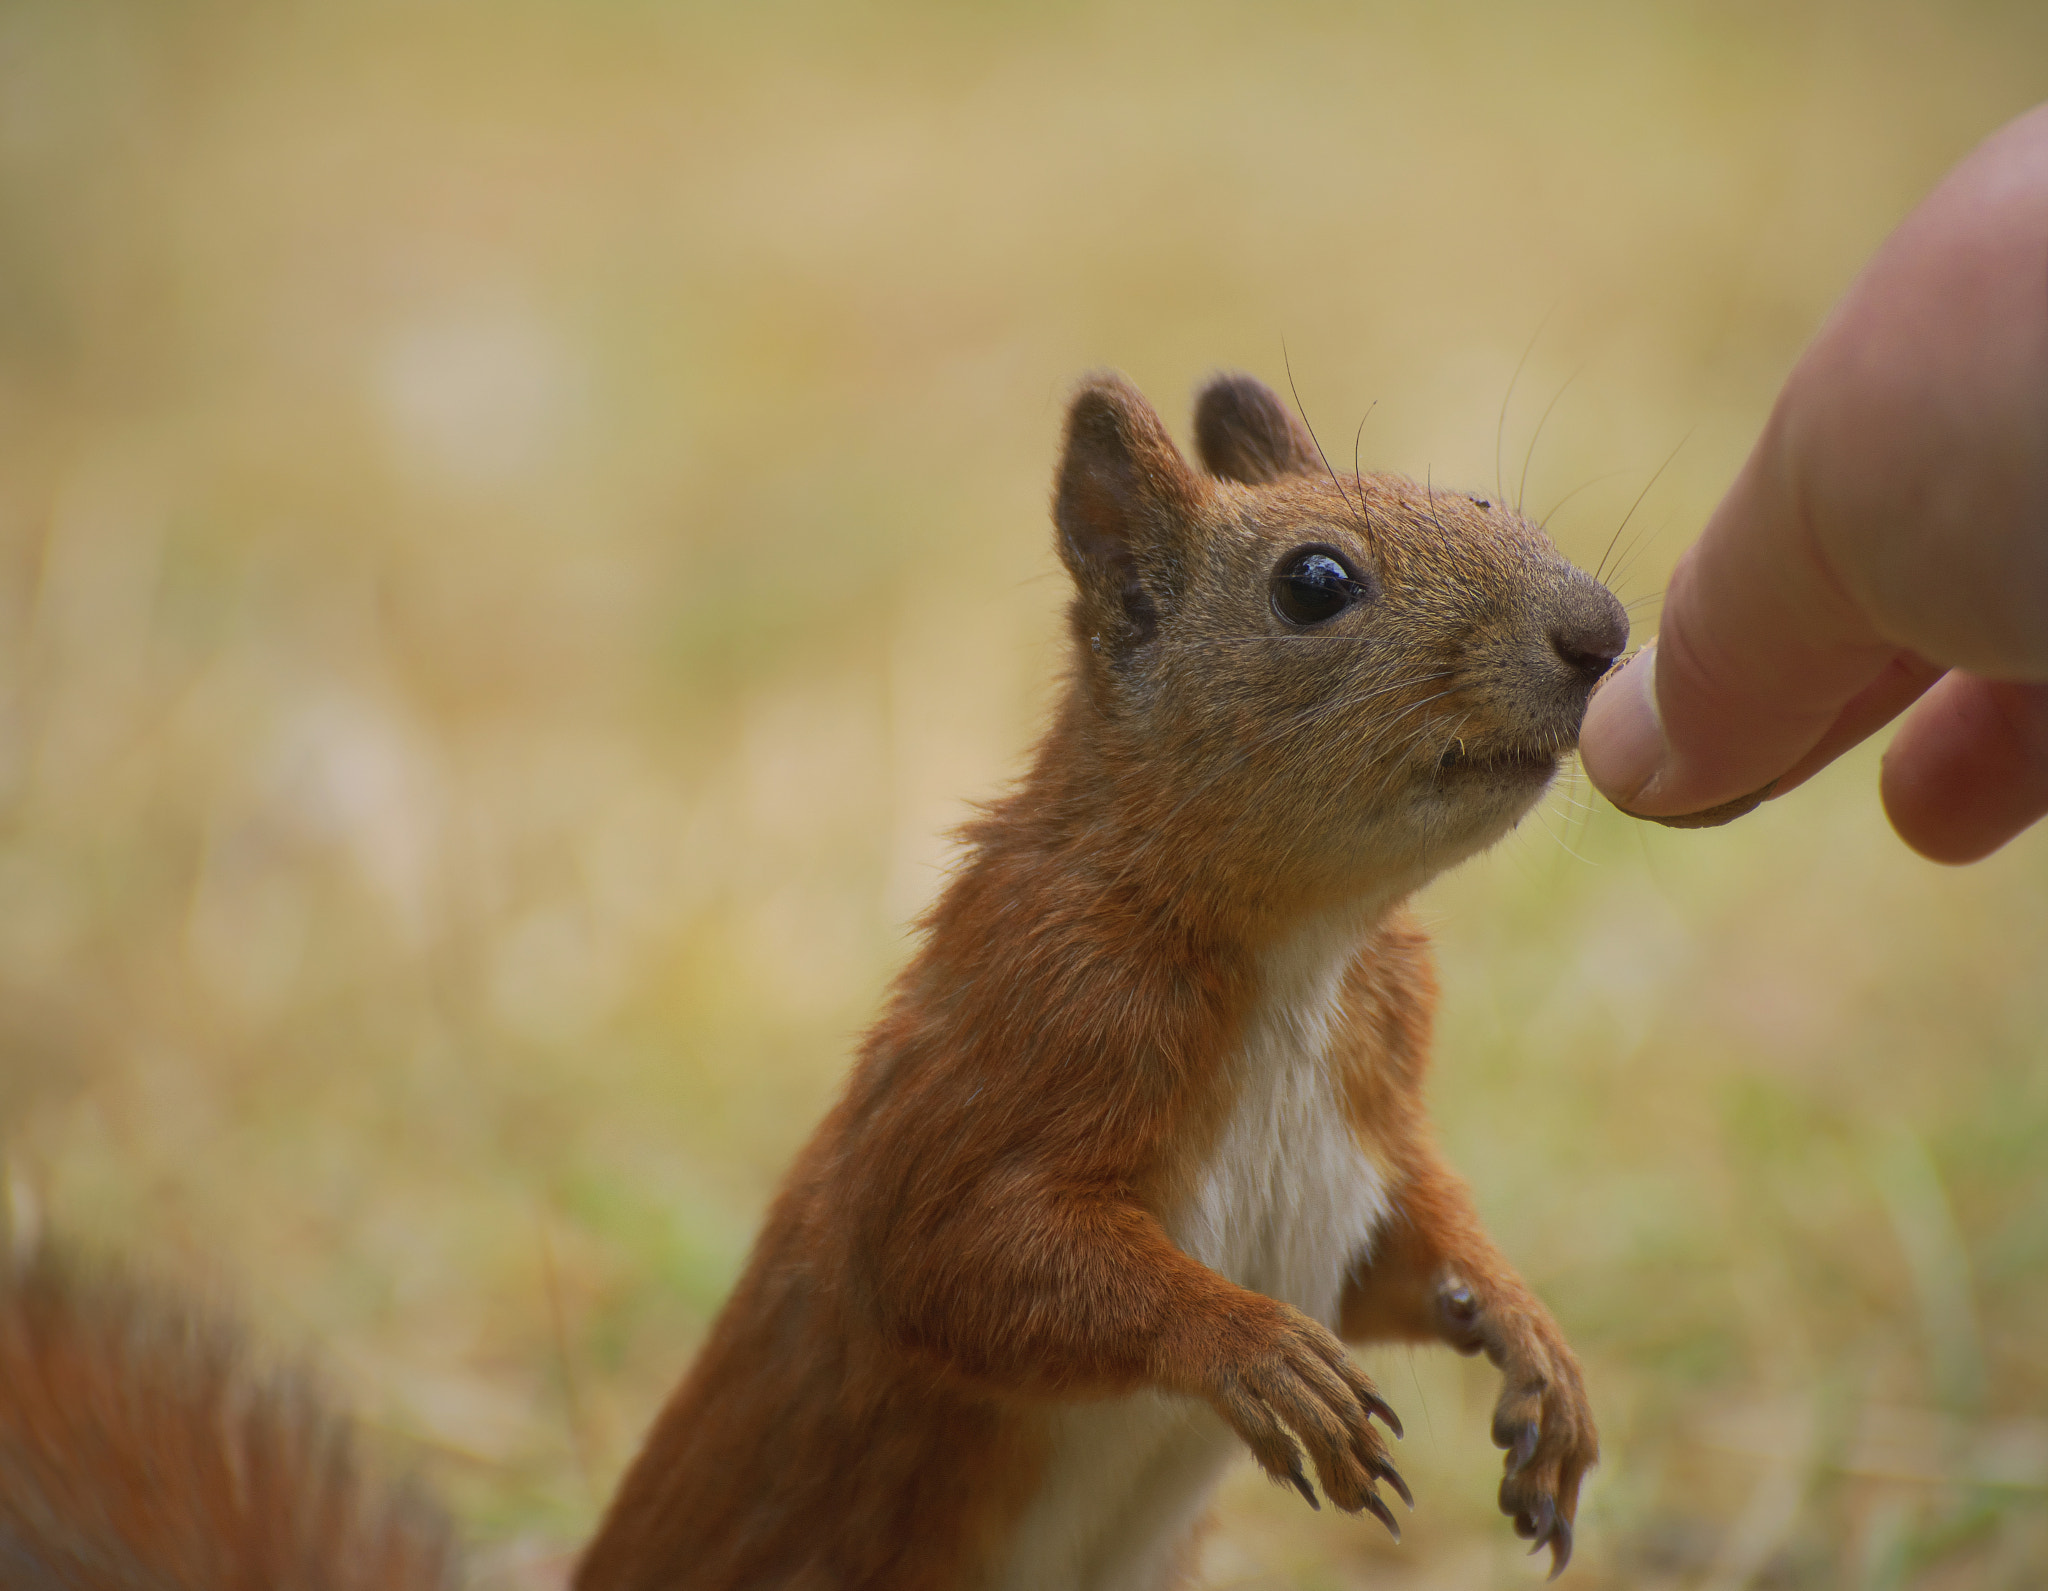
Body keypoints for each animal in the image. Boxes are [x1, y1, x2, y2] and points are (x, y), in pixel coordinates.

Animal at [0, 370, 1621, 1591]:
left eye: (1486, 501)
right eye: (1315, 582)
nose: (1601, 630)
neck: (1303, 948)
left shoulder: (1368, 1108)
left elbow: (1418, 1240)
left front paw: (1532, 1345)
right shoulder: (1018, 1037)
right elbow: (958, 1251)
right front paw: (1255, 1348)